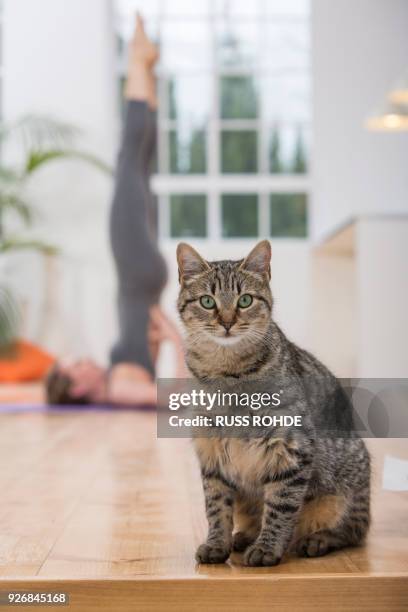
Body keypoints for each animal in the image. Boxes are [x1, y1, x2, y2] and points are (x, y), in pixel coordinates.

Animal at [175, 241, 370, 568]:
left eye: (244, 300)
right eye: (207, 301)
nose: (227, 322)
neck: (228, 373)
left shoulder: (291, 449)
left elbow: (280, 506)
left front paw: (267, 548)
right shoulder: (211, 453)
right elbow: (216, 507)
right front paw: (217, 543)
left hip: (344, 492)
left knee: (354, 529)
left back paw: (315, 540)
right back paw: (243, 536)